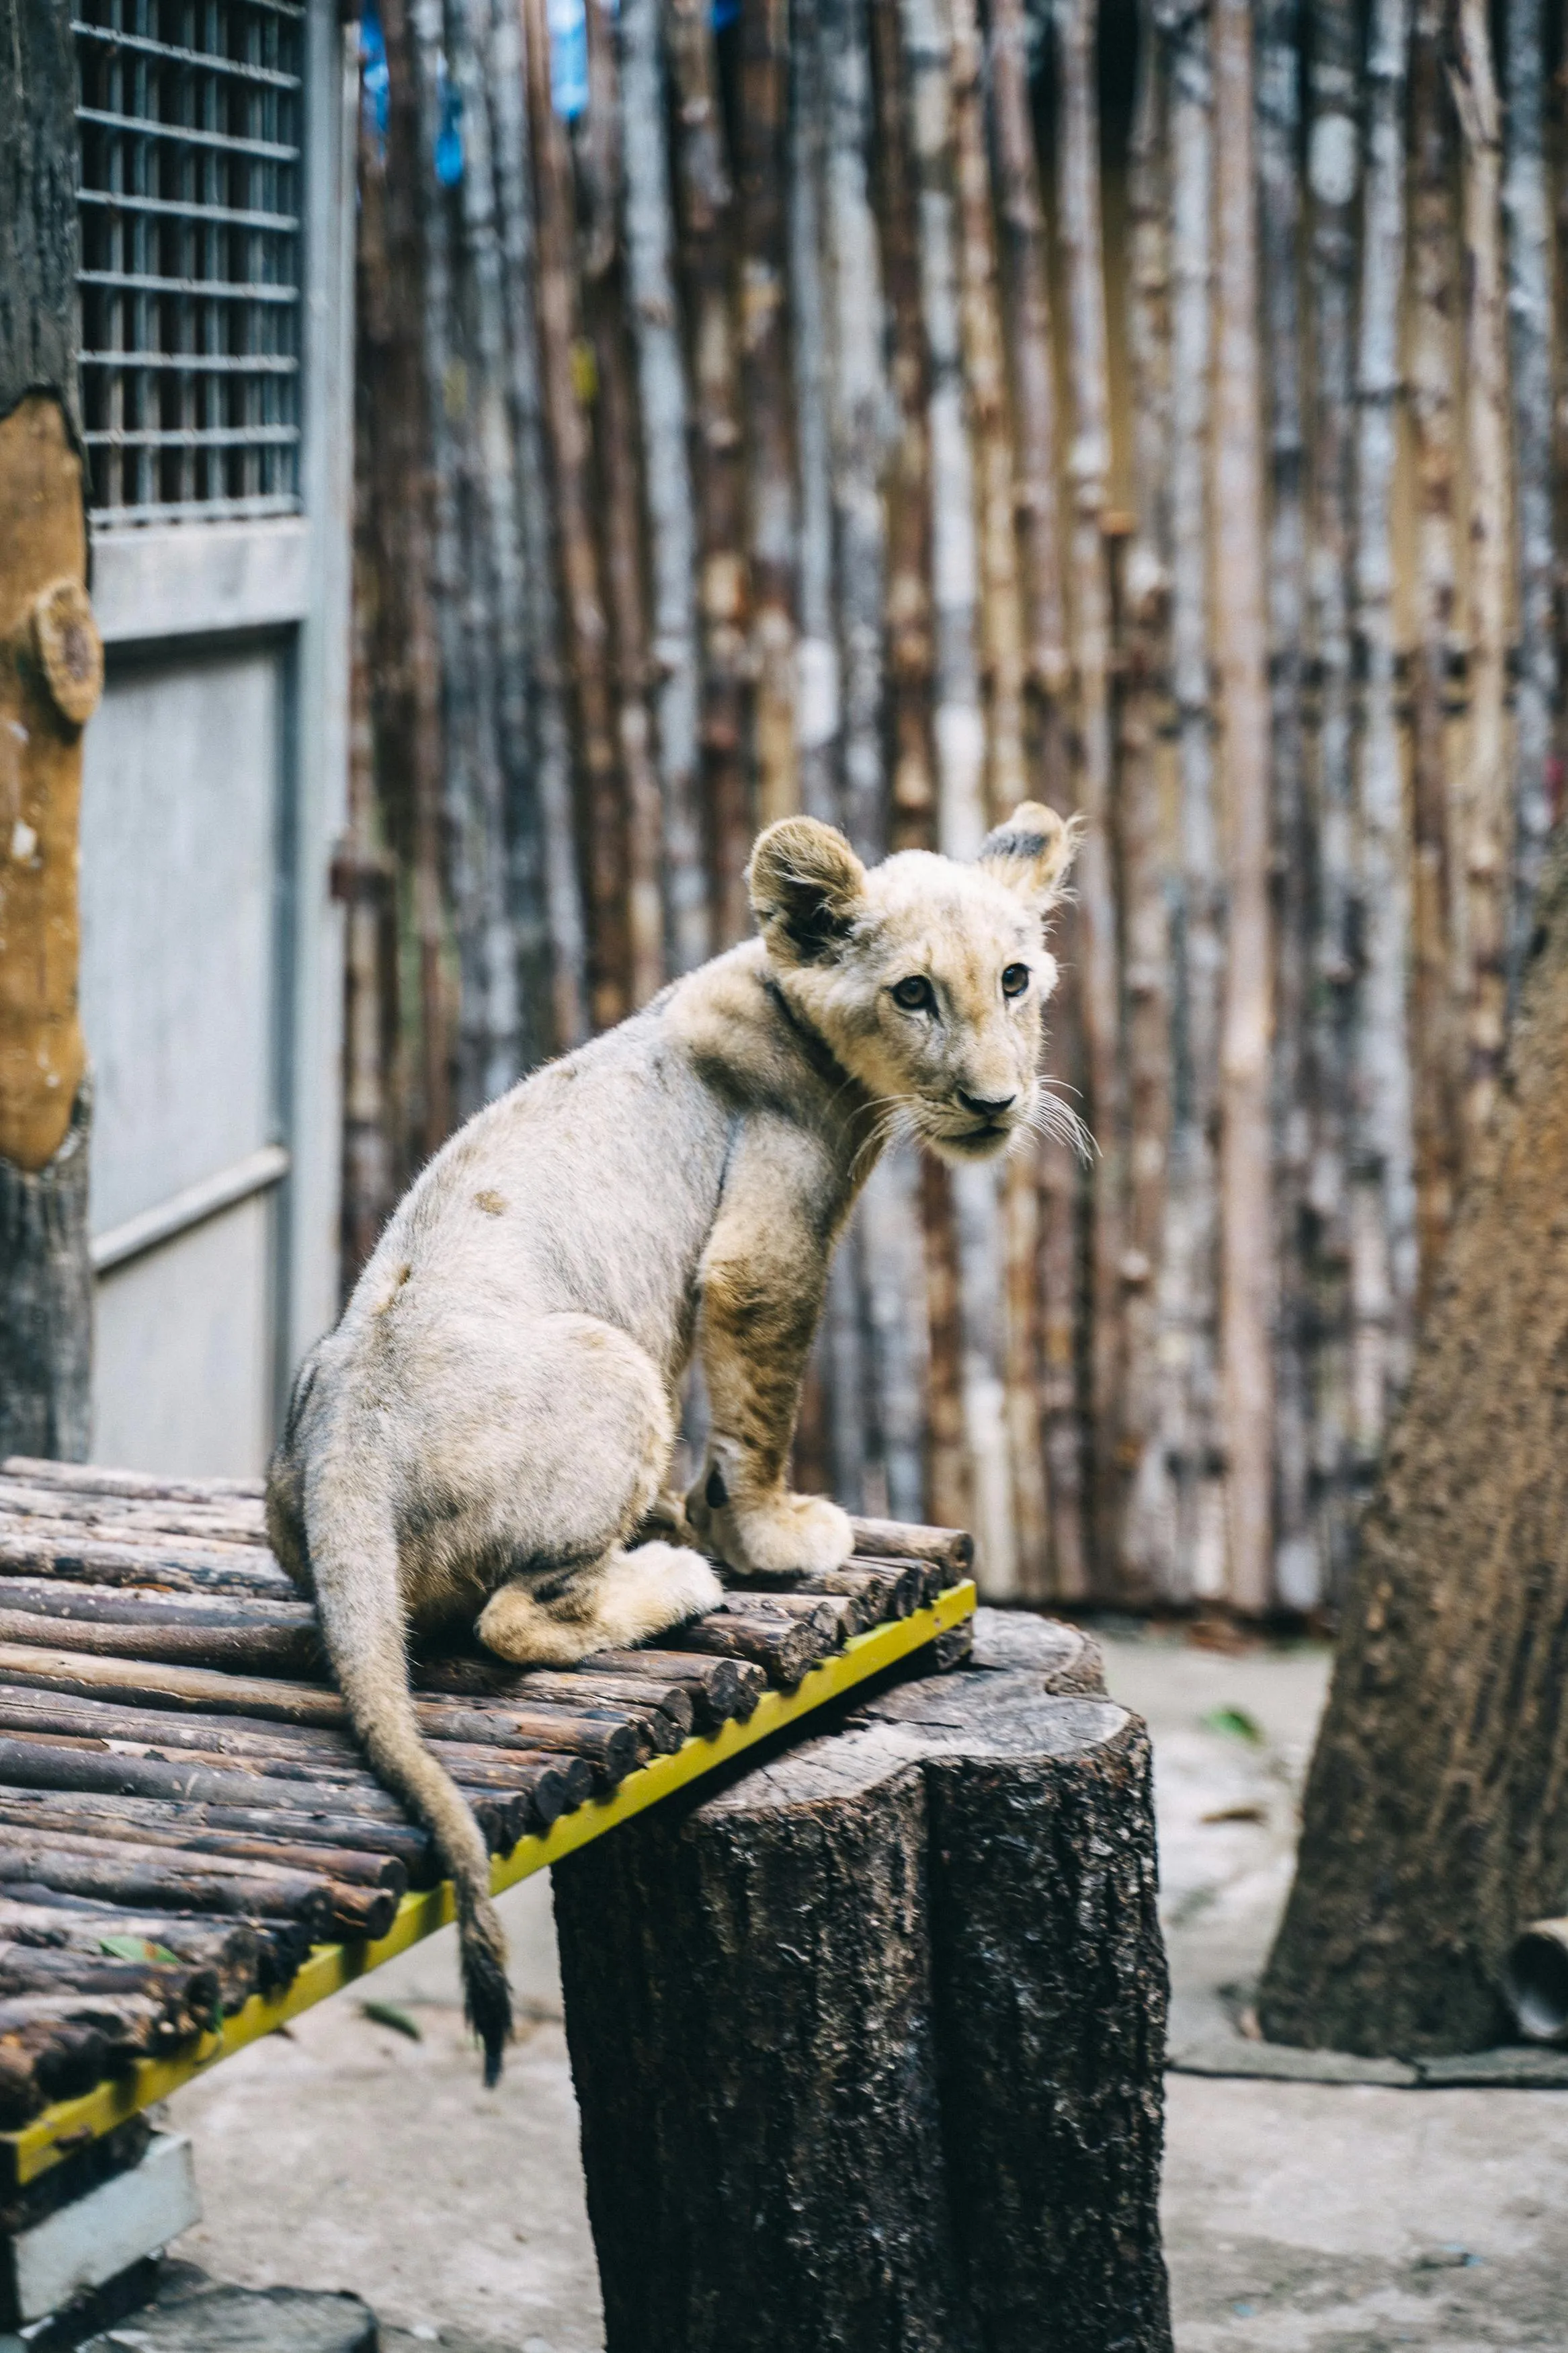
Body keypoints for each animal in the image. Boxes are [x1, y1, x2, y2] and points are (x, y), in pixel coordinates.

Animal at [266, 801, 1081, 2080]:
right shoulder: (767, 1241)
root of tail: (351, 1438)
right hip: (612, 1364)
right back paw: (673, 1576)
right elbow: (759, 1407)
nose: (998, 1104)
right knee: (510, 1619)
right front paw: (768, 1537)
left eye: (1014, 980)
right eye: (913, 994)